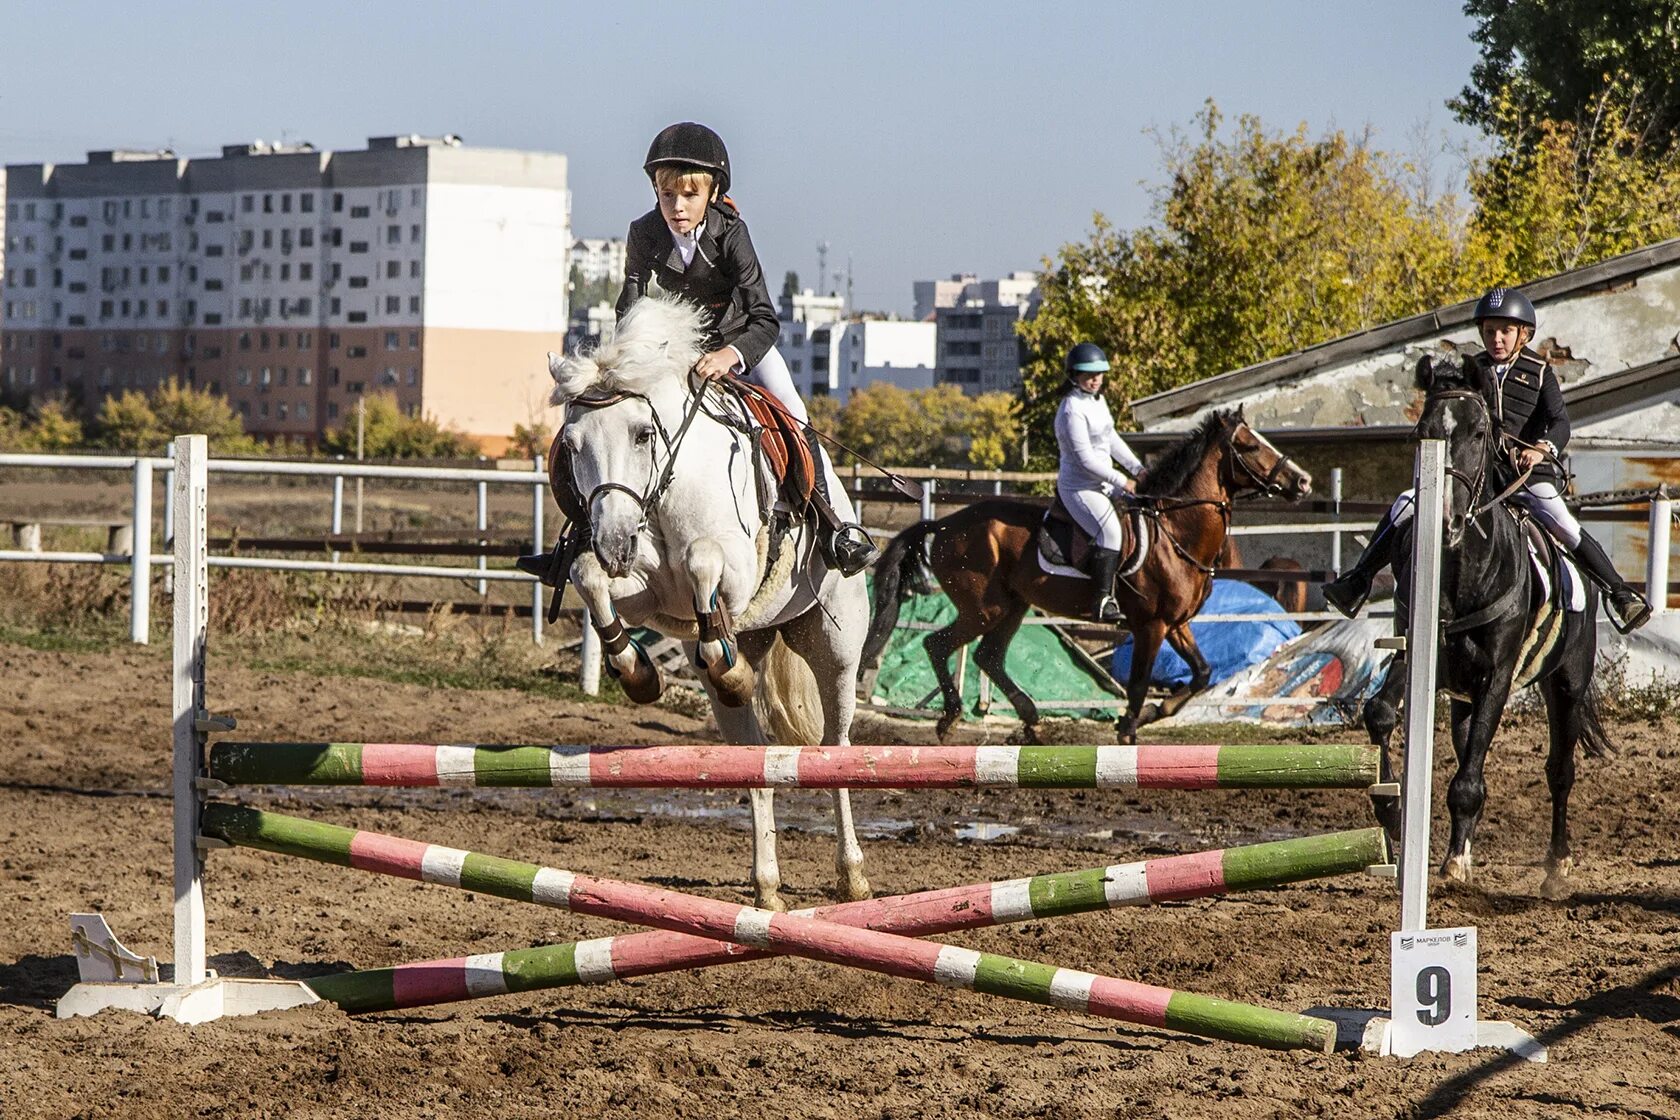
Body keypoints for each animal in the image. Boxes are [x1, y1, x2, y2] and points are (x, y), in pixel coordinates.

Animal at [547, 295, 873, 913]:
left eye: (642, 435)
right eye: (570, 448)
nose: (615, 541)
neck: (668, 482)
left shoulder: (737, 569)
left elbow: (702, 559)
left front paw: (716, 661)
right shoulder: (648, 594)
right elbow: (589, 577)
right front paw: (637, 671)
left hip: (836, 650)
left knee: (836, 747)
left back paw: (853, 877)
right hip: (751, 664)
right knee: (752, 756)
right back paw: (766, 888)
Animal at [866, 411, 1310, 745]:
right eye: (1250, 446)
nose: (1302, 481)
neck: (1175, 532)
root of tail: (944, 525)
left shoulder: (1176, 624)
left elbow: (1201, 673)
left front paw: (1155, 711)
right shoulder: (1151, 625)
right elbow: (1138, 682)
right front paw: (1128, 728)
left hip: (1013, 605)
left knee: (987, 656)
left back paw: (1030, 719)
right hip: (984, 608)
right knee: (938, 644)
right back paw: (952, 716)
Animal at [1364, 354, 1612, 900]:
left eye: (1480, 433)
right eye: (1423, 433)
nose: (1446, 521)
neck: (1460, 573)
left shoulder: (1498, 675)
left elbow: (1468, 779)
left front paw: (1455, 862)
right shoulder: (1417, 656)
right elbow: (1381, 715)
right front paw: (1391, 809)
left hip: (1566, 682)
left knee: (1559, 771)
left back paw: (1556, 865)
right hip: (1462, 695)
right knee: (1466, 748)